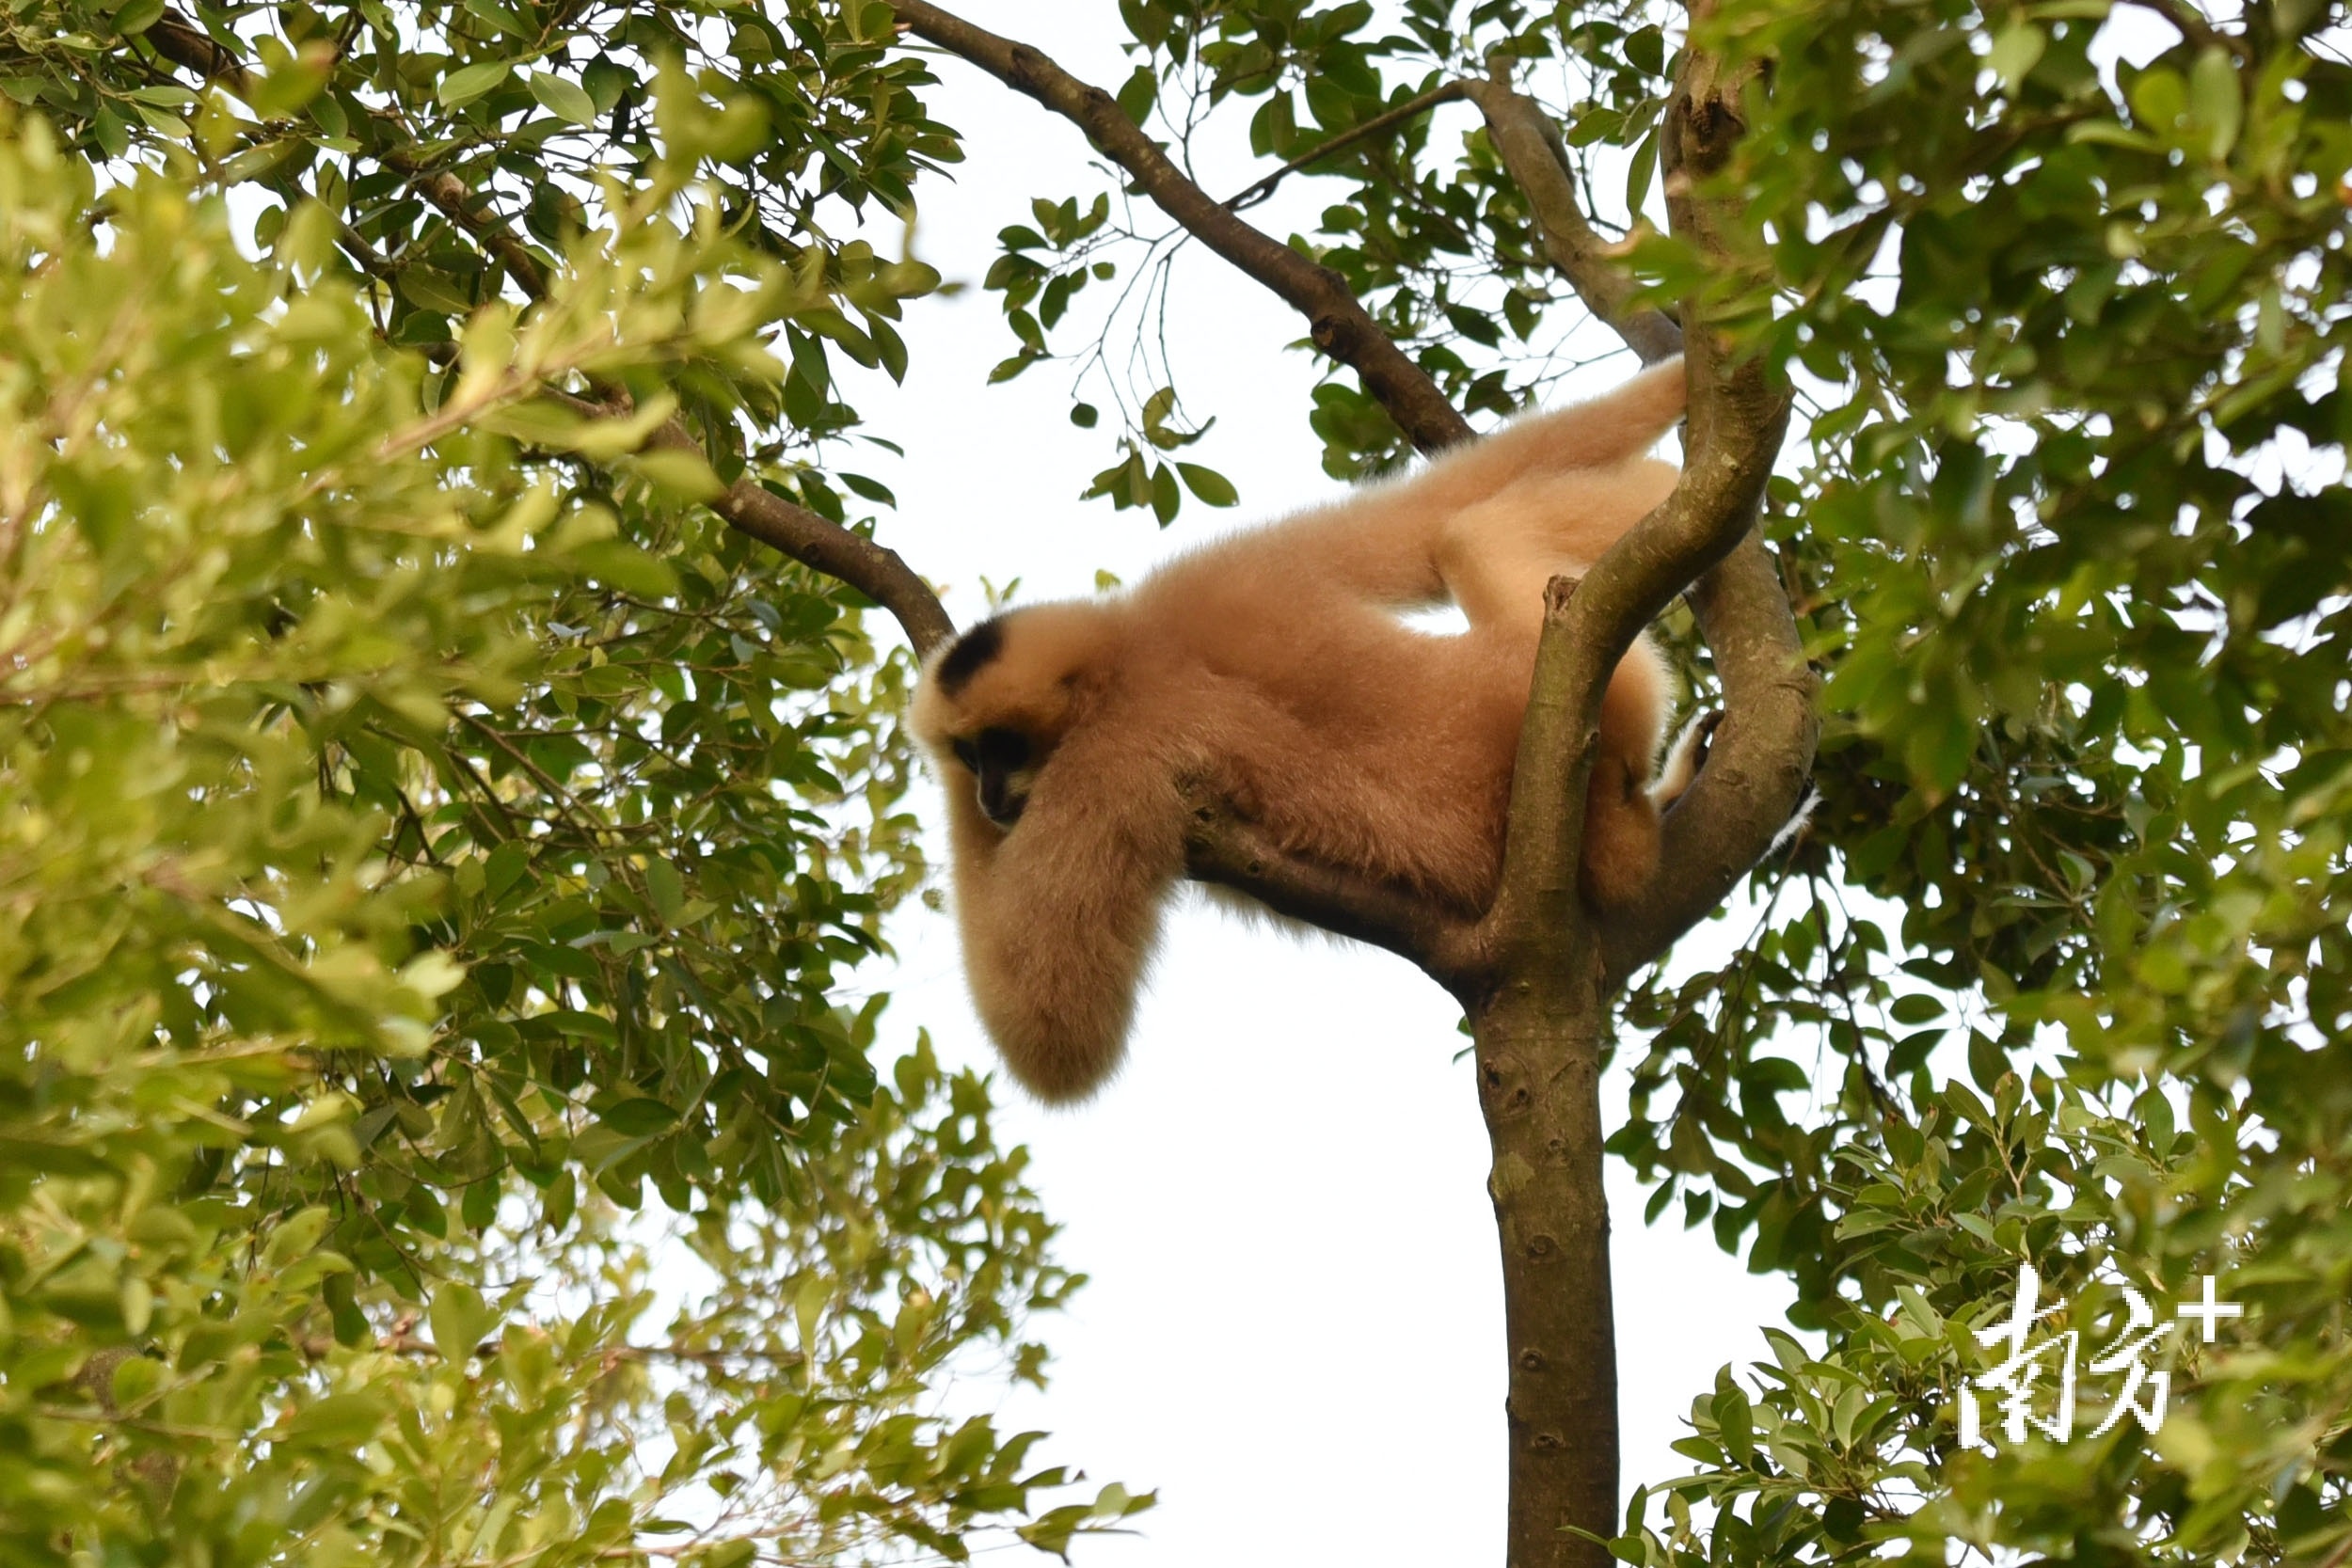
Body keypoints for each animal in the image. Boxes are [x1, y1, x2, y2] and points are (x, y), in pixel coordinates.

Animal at [911, 358, 1706, 1102]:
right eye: (972, 754)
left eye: (1001, 748)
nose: (984, 792)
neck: (1131, 658)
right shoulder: (1222, 583)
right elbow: (1427, 508)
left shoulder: (1108, 751)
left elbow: (1051, 1026)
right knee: (1469, 529)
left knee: (1473, 532)